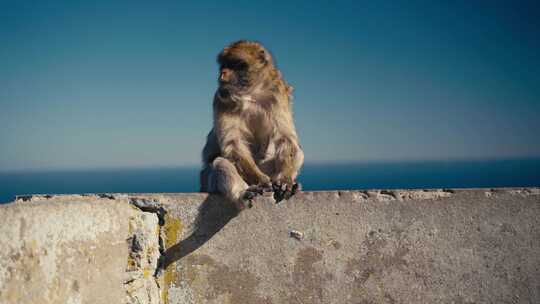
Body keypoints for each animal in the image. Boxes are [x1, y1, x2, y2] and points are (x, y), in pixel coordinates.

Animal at [201, 40, 306, 210]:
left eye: (237, 65)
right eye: (224, 65)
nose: (223, 74)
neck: (251, 94)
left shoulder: (278, 93)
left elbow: (286, 139)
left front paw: (285, 181)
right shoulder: (221, 98)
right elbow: (233, 144)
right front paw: (261, 181)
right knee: (219, 162)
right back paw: (244, 193)